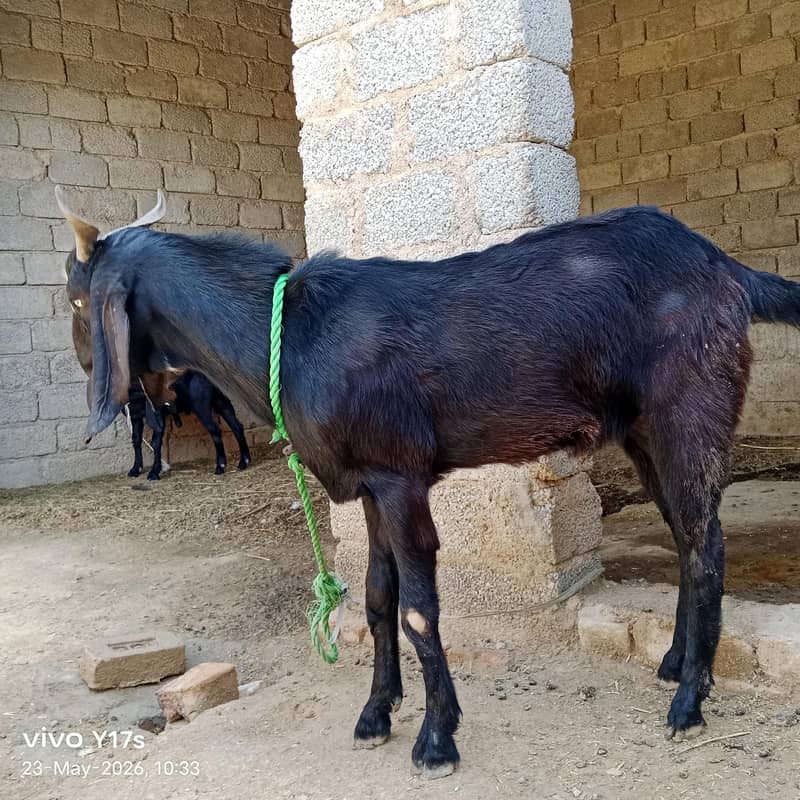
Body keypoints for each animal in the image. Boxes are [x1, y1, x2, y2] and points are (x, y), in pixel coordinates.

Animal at [58, 190, 800, 778]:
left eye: (77, 295)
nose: (89, 372)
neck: (290, 336)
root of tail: (726, 270)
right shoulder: (368, 487)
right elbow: (376, 600)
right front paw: (374, 715)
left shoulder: (400, 478)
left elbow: (417, 609)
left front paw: (437, 739)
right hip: (644, 430)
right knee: (686, 534)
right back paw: (675, 662)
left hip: (690, 410)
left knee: (707, 547)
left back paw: (689, 703)